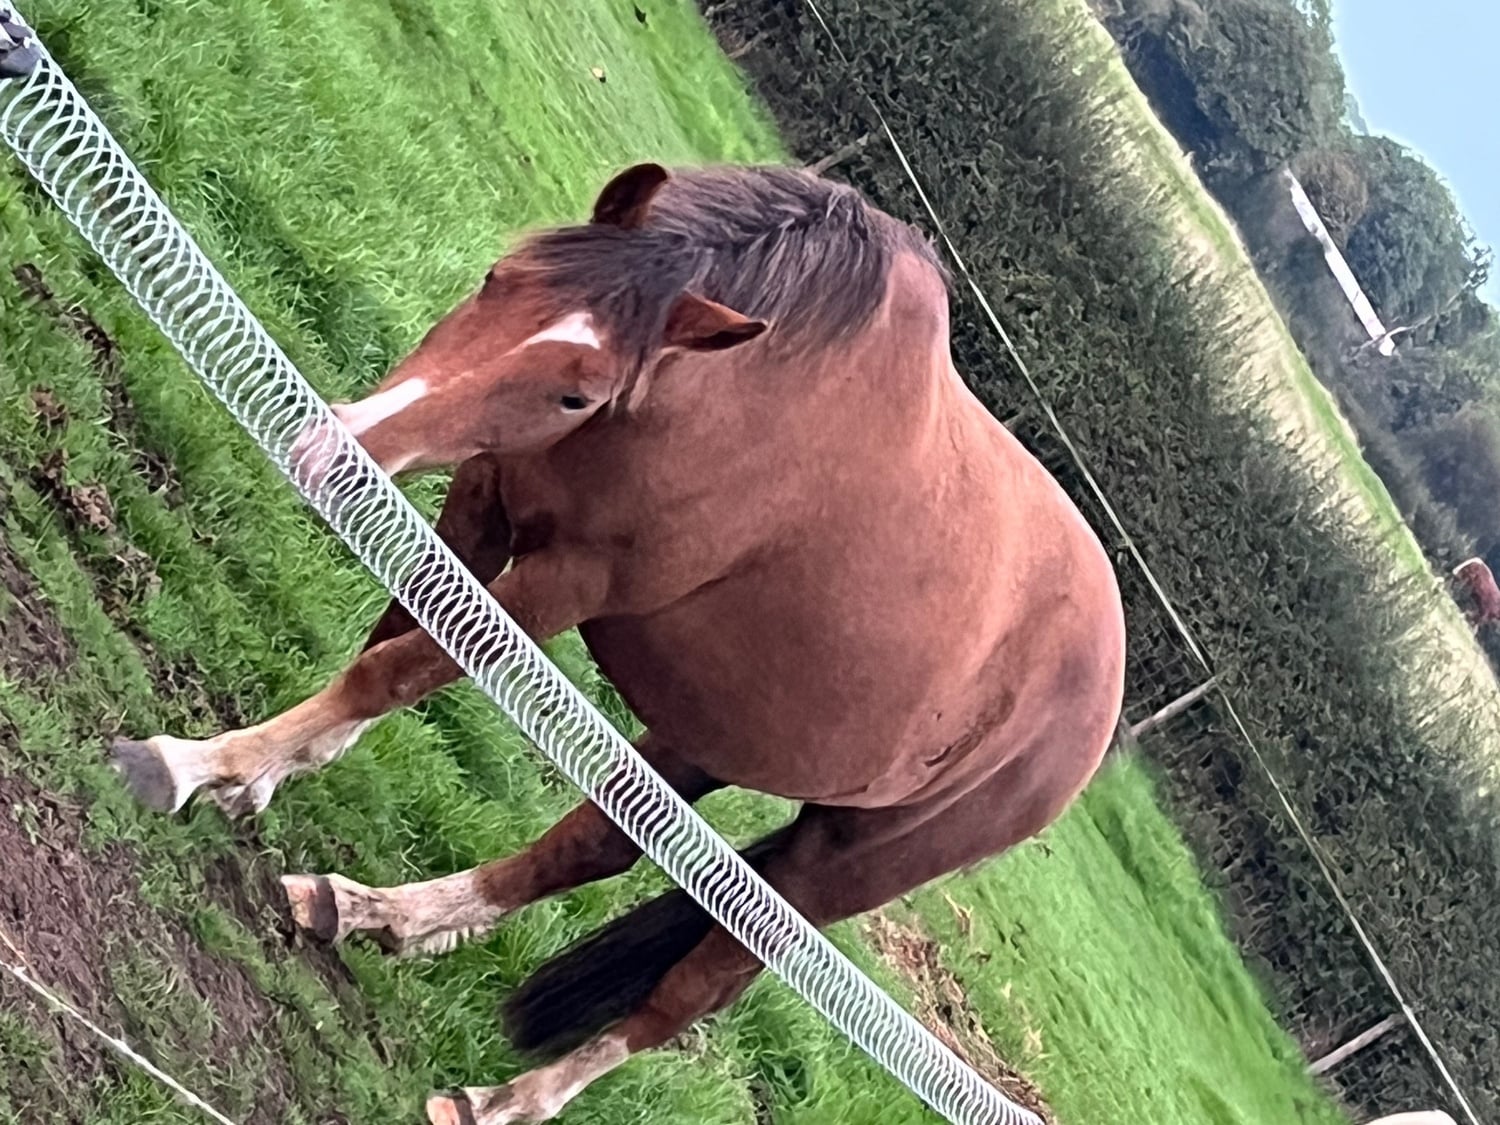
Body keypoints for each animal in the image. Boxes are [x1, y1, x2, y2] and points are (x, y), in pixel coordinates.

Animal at [111, 163, 1127, 1124]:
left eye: (576, 392)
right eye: (498, 277)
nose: (336, 442)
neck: (710, 404)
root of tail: (1096, 714)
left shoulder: (568, 583)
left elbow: (396, 671)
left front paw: (198, 763)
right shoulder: (486, 490)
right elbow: (398, 635)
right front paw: (262, 775)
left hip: (839, 869)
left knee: (691, 993)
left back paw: (505, 1100)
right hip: (701, 742)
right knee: (588, 848)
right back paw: (384, 911)